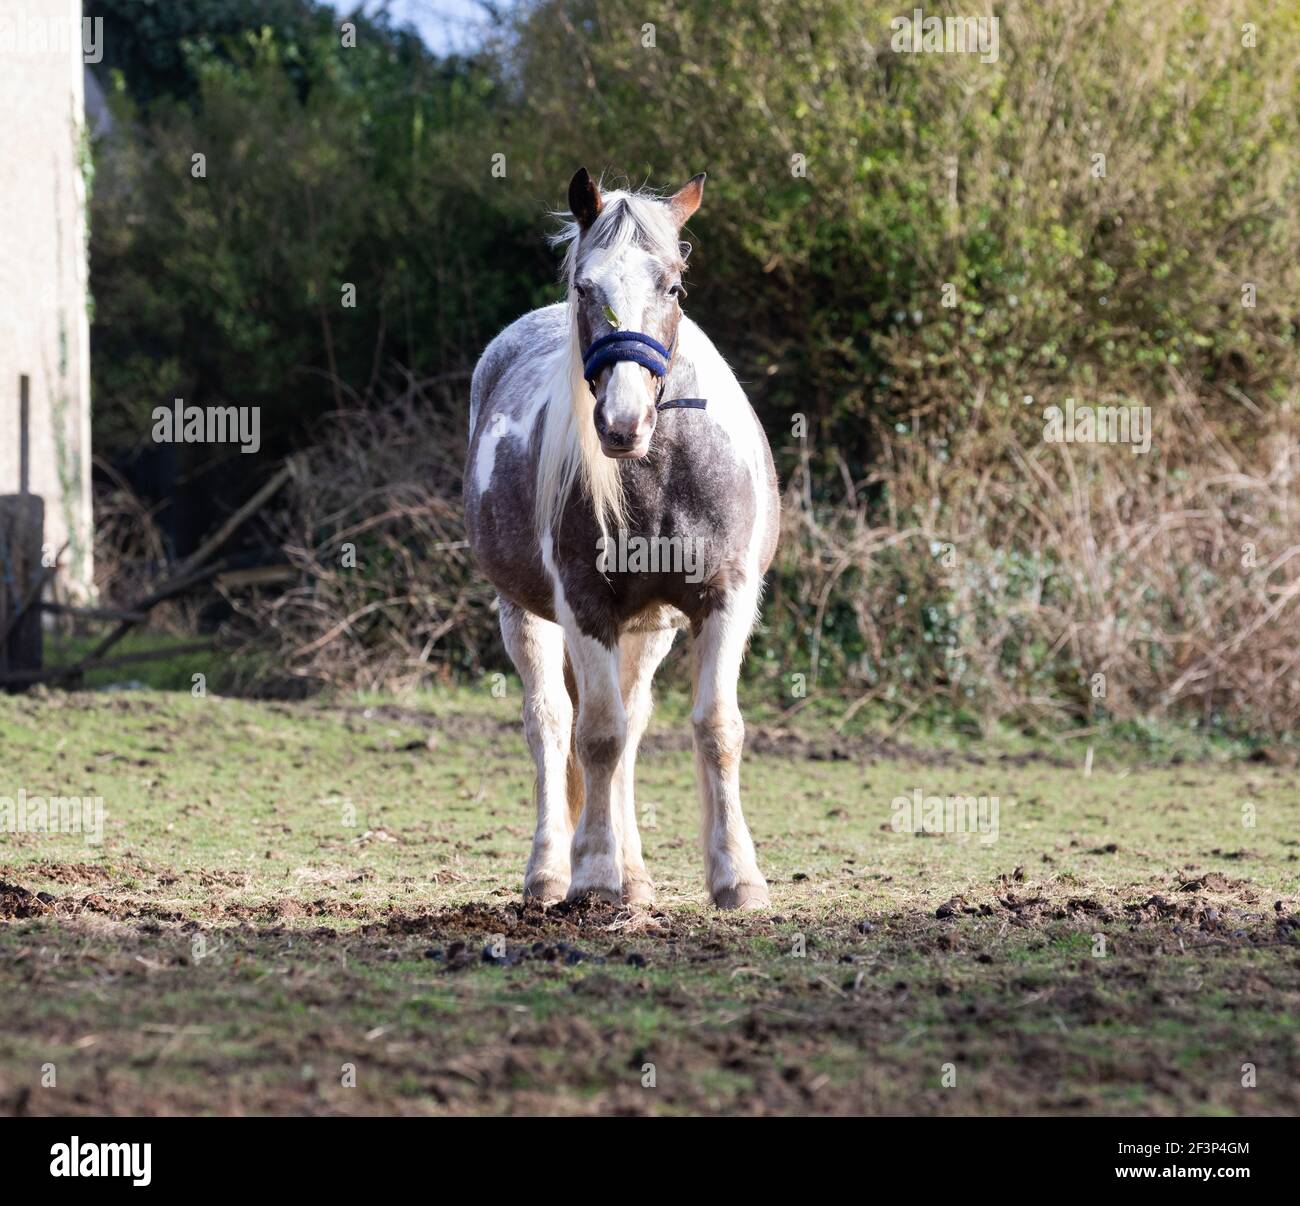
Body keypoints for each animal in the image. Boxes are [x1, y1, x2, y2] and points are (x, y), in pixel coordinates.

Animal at [465, 167, 774, 904]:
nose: (623, 422)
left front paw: (736, 875)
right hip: (524, 613)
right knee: (553, 725)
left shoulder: (726, 598)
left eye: (673, 287)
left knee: (632, 724)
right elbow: (597, 736)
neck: (661, 470)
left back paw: (636, 876)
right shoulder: (584, 605)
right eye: (584, 286)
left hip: (650, 630)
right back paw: (554, 869)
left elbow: (715, 728)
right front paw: (597, 873)